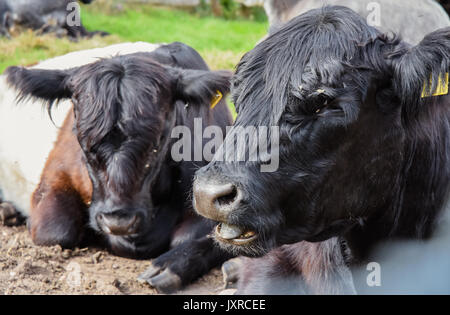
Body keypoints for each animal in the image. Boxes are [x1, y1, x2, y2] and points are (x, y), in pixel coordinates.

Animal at [5, 42, 234, 294]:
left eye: (158, 140)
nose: (118, 221)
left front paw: (167, 267)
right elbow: (55, 232)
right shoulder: (55, 177)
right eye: (81, 139)